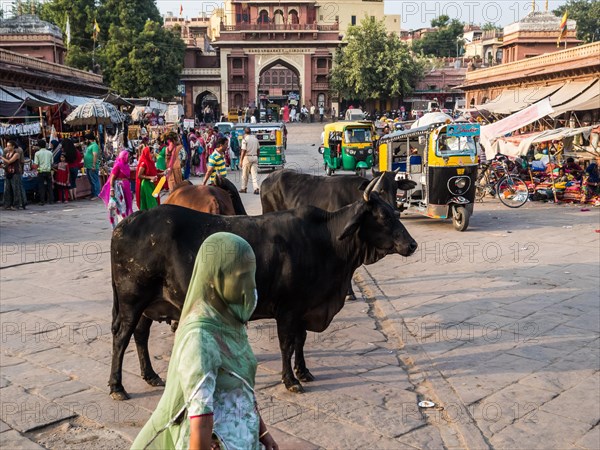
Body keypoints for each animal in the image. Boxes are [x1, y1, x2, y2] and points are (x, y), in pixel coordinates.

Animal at [109, 178, 418, 400]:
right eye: (382, 217)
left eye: (394, 212)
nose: (412, 244)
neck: (326, 240)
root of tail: (128, 221)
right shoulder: (288, 309)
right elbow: (287, 344)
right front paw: (290, 380)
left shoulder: (305, 307)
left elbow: (301, 341)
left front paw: (304, 371)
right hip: (131, 300)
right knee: (122, 337)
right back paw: (117, 386)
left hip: (149, 304)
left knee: (140, 335)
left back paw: (150, 375)